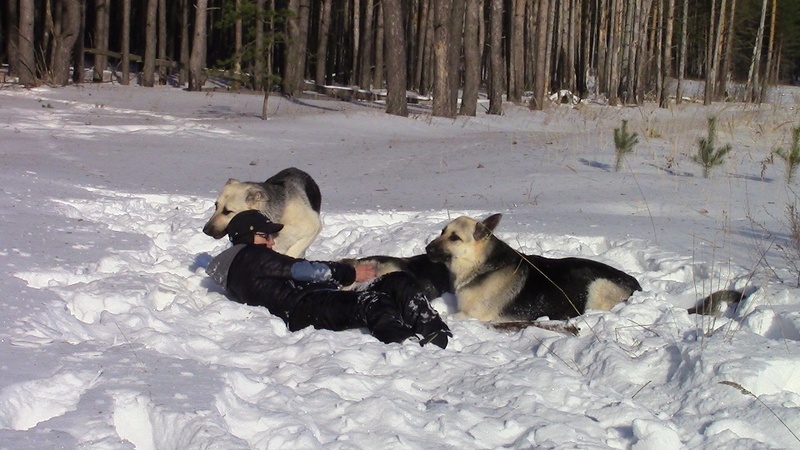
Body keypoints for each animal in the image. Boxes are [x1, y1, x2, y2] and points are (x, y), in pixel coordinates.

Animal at [424, 214, 644, 322]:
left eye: (454, 238)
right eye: (442, 231)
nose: (427, 249)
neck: (481, 263)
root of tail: (635, 283)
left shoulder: (470, 316)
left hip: (598, 287)